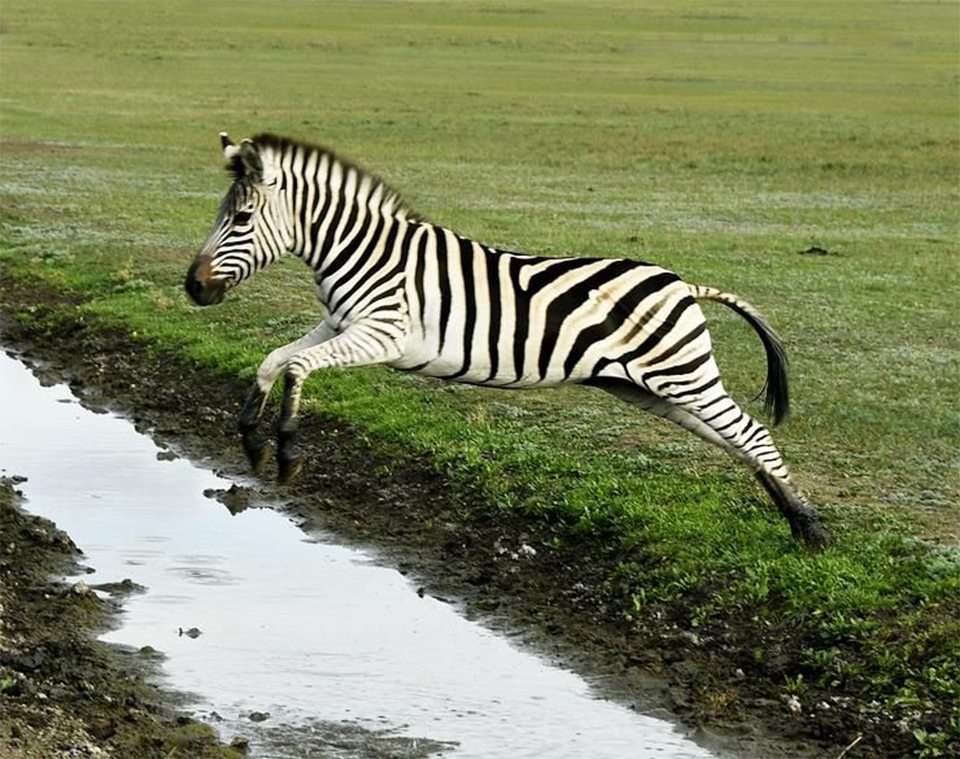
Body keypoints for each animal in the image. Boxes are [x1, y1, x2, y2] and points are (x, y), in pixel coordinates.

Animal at [186, 131, 824, 548]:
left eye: (240, 220)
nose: (193, 288)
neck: (360, 249)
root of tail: (685, 283)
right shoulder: (339, 325)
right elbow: (274, 360)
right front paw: (251, 437)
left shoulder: (382, 333)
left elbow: (297, 369)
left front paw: (287, 451)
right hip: (651, 388)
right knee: (738, 441)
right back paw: (793, 519)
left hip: (680, 375)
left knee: (754, 434)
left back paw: (810, 530)